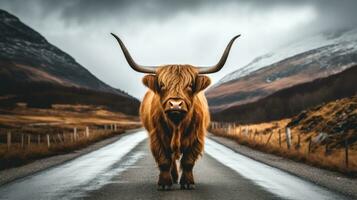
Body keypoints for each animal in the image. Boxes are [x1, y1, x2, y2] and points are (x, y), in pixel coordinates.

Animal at [111, 33, 239, 190]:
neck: (177, 125)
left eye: (190, 85)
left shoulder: (196, 138)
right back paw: (173, 177)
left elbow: (188, 161)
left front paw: (188, 183)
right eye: (162, 85)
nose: (176, 105)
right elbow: (164, 161)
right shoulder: (157, 137)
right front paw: (164, 183)